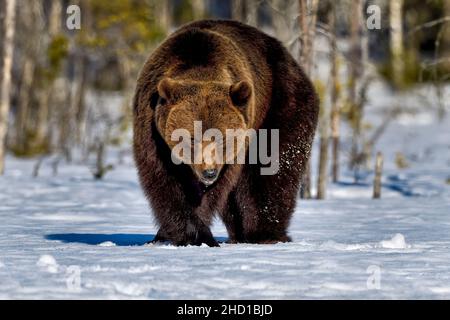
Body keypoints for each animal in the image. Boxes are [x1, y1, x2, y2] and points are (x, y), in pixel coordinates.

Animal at [132, 19, 318, 248]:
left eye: (221, 137)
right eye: (190, 137)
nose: (209, 172)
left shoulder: (236, 147)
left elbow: (216, 191)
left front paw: (198, 234)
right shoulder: (152, 132)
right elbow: (163, 180)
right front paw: (180, 234)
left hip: (283, 104)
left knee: (272, 171)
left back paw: (265, 234)